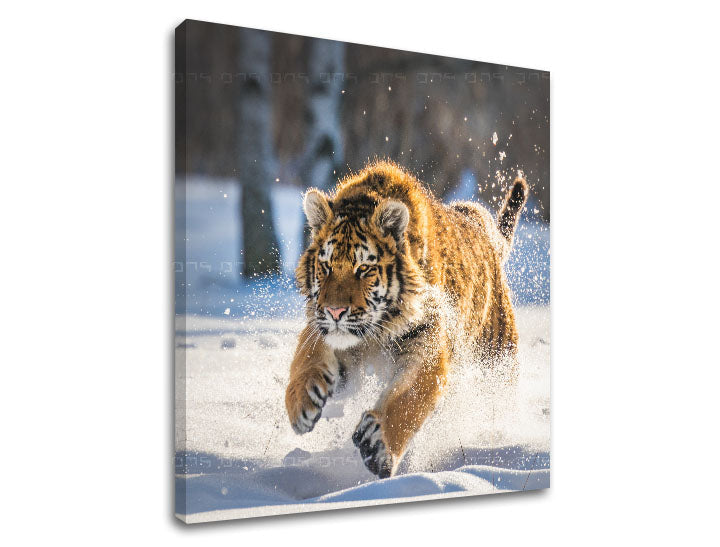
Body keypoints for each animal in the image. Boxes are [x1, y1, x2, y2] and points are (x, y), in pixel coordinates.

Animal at [285, 160, 528, 478]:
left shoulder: (427, 343)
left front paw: (378, 446)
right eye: (325, 266)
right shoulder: (324, 329)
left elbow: (408, 398)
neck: (374, 331)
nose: (335, 311)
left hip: (496, 359)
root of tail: (484, 229)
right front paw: (301, 403)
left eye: (363, 269)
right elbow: (307, 355)